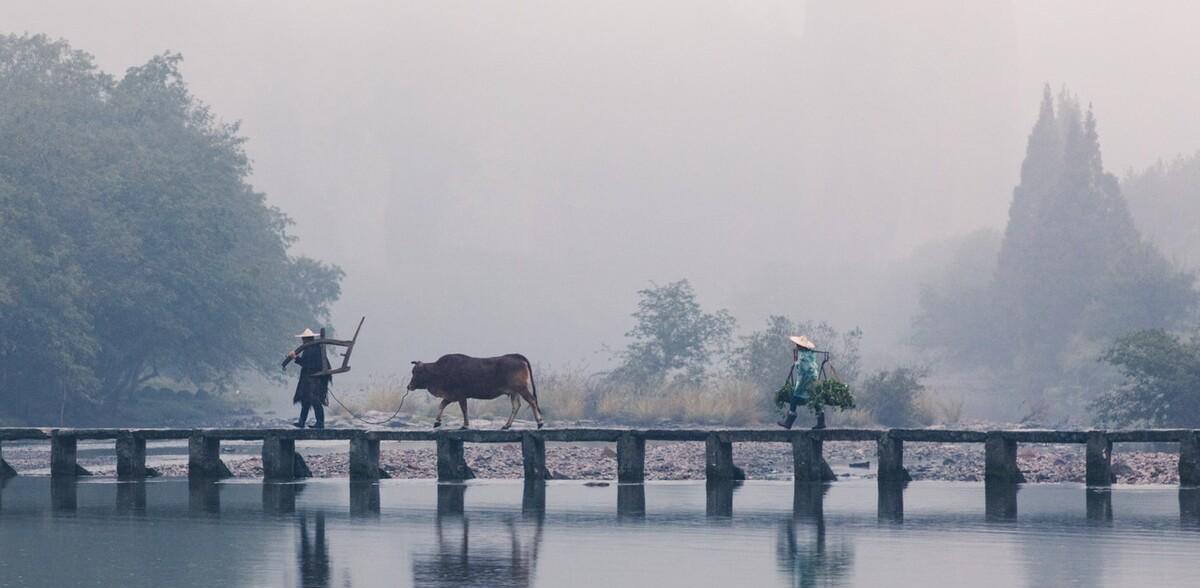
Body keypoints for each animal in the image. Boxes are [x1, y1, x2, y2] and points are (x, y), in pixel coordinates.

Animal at [410, 350, 547, 429]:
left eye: (417, 372)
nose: (409, 386)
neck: (440, 370)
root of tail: (516, 357)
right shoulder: (451, 396)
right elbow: (441, 405)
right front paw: (437, 421)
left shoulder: (460, 395)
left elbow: (464, 409)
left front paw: (465, 425)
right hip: (514, 392)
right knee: (516, 406)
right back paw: (506, 425)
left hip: (522, 388)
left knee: (532, 401)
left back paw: (539, 422)